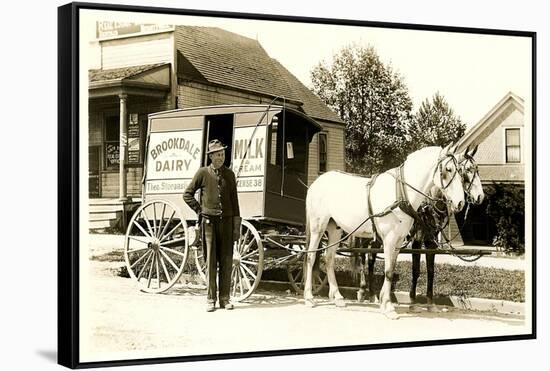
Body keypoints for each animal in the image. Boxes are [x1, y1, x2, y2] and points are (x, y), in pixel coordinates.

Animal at [304, 145, 468, 320]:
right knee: (311, 257)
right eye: (448, 170)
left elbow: (391, 269)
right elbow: (388, 271)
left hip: (335, 229)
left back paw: (337, 297)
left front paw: (384, 301)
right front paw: (388, 307)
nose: (460, 202)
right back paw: (309, 297)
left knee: (329, 259)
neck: (401, 192)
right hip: (318, 227)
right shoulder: (389, 239)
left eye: (460, 171)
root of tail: (317, 182)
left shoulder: (398, 241)